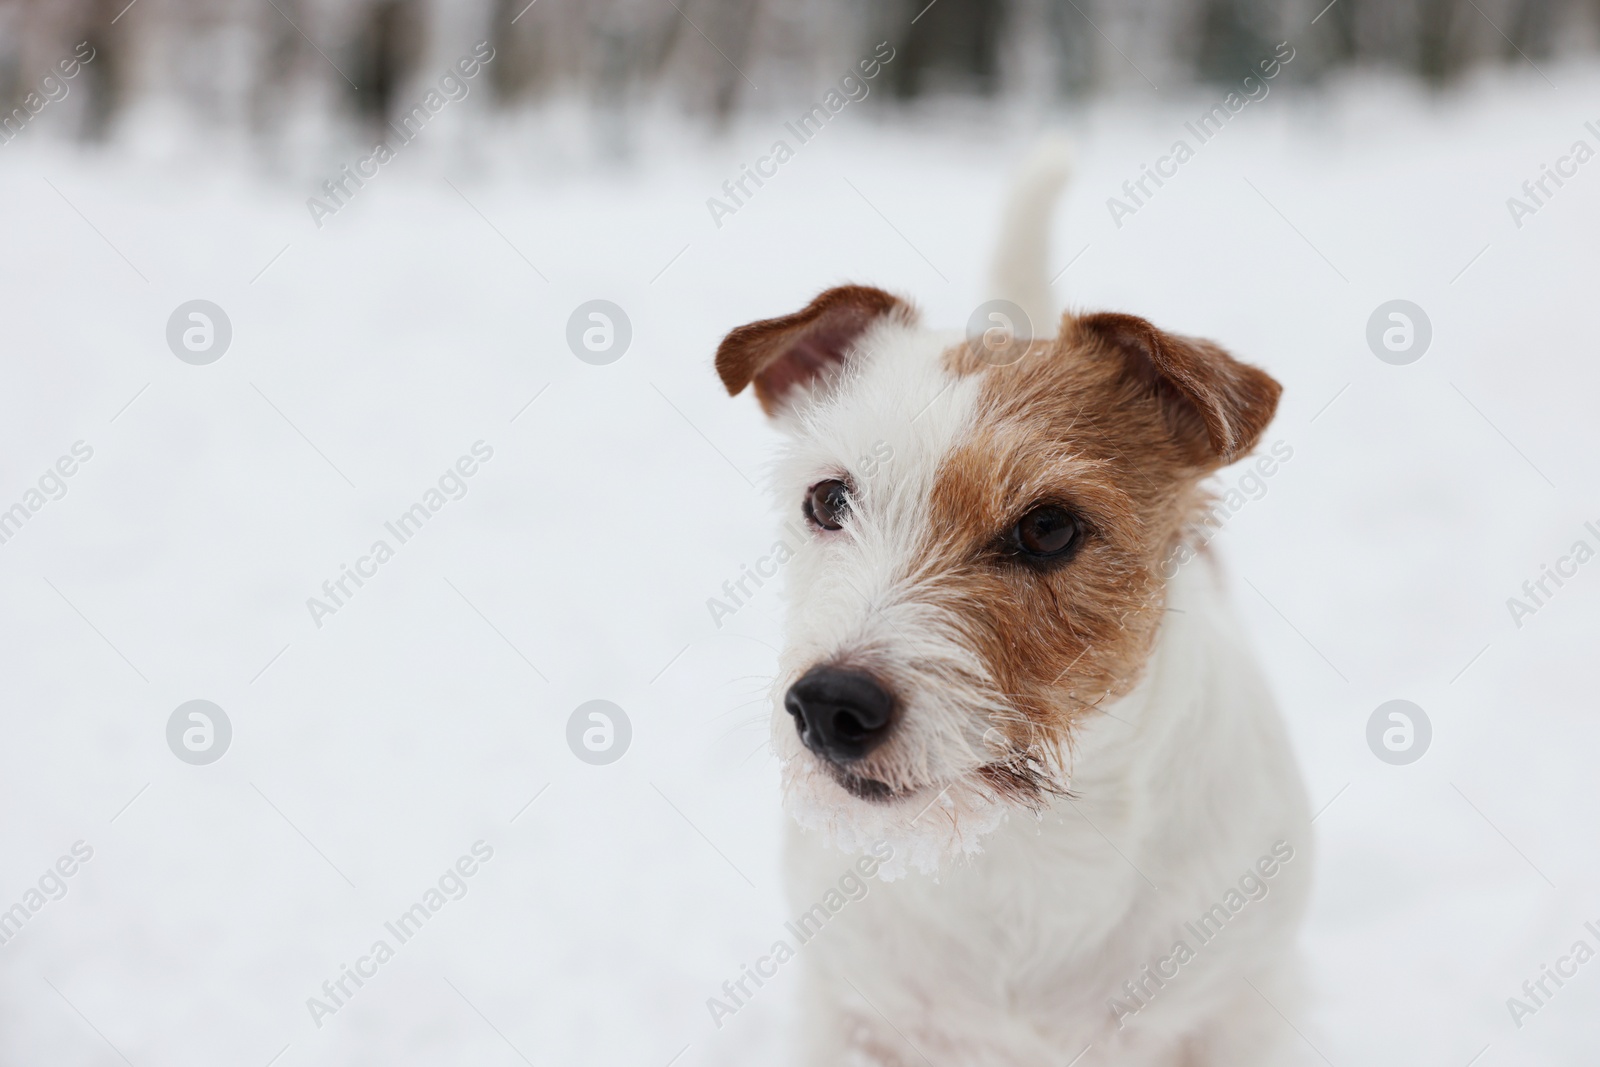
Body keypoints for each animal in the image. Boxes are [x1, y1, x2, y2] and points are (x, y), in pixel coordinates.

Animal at [713, 147, 1312, 1067]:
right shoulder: (854, 1019)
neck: (1025, 847)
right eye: (828, 499)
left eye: (1048, 527)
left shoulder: (1234, 1017)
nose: (828, 704)